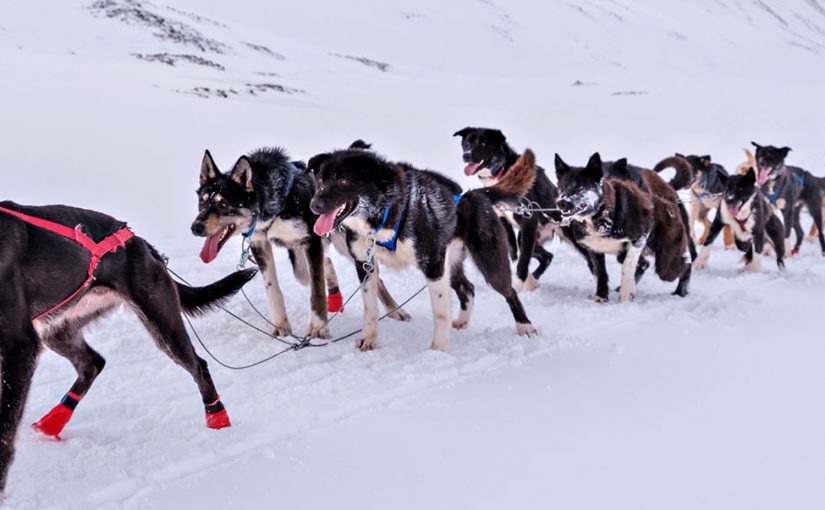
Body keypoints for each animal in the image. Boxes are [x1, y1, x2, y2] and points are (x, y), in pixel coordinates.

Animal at [0, 202, 256, 494]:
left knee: (198, 366)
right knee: (93, 362)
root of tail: (142, 243)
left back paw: (217, 418)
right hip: (58, 329)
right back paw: (54, 420)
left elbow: (5, 429)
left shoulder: (20, 346)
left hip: (162, 324)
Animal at [306, 145, 536, 348]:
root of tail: (474, 194)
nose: (314, 205)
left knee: (509, 293)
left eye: (343, 180)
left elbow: (440, 312)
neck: (383, 214)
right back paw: (463, 320)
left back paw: (525, 326)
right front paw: (368, 340)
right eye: (320, 180)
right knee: (468, 289)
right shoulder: (365, 264)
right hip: (449, 266)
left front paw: (438, 350)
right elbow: (370, 308)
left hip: (488, 262)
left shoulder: (433, 266)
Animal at [454, 127, 556, 292]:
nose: (466, 155)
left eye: (483, 143)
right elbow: (514, 254)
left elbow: (523, 258)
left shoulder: (529, 221)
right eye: (467, 143)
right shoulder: (503, 221)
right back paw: (535, 281)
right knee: (547, 256)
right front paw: (526, 281)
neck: (502, 173)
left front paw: (520, 282)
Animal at [552, 153, 692, 300]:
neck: (602, 216)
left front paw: (625, 295)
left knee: (684, 266)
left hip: (666, 263)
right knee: (644, 264)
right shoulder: (594, 249)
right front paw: (601, 296)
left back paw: (681, 291)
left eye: (580, 187)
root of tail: (667, 195)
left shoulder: (639, 238)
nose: (561, 202)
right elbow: (600, 272)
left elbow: (627, 267)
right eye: (563, 186)